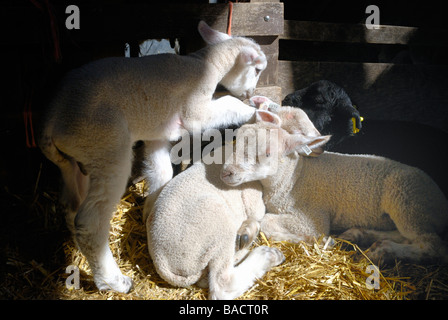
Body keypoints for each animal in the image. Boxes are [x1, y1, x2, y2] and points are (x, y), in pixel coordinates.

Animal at [38, 20, 266, 292]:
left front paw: (150, 211)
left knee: (71, 207)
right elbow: (227, 104)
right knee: (89, 222)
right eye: (257, 70)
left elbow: (162, 172)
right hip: (105, 143)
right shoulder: (194, 111)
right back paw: (114, 281)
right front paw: (257, 109)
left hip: (77, 158)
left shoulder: (159, 133)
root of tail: (50, 122)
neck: (205, 62)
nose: (251, 92)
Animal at [221, 104, 448, 264]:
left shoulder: (311, 217)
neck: (294, 177)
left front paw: (318, 240)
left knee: (432, 246)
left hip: (407, 200)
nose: (226, 172)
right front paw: (245, 232)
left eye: (267, 153)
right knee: (408, 236)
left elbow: (269, 222)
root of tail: (442, 201)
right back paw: (361, 236)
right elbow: (261, 217)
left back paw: (384, 252)